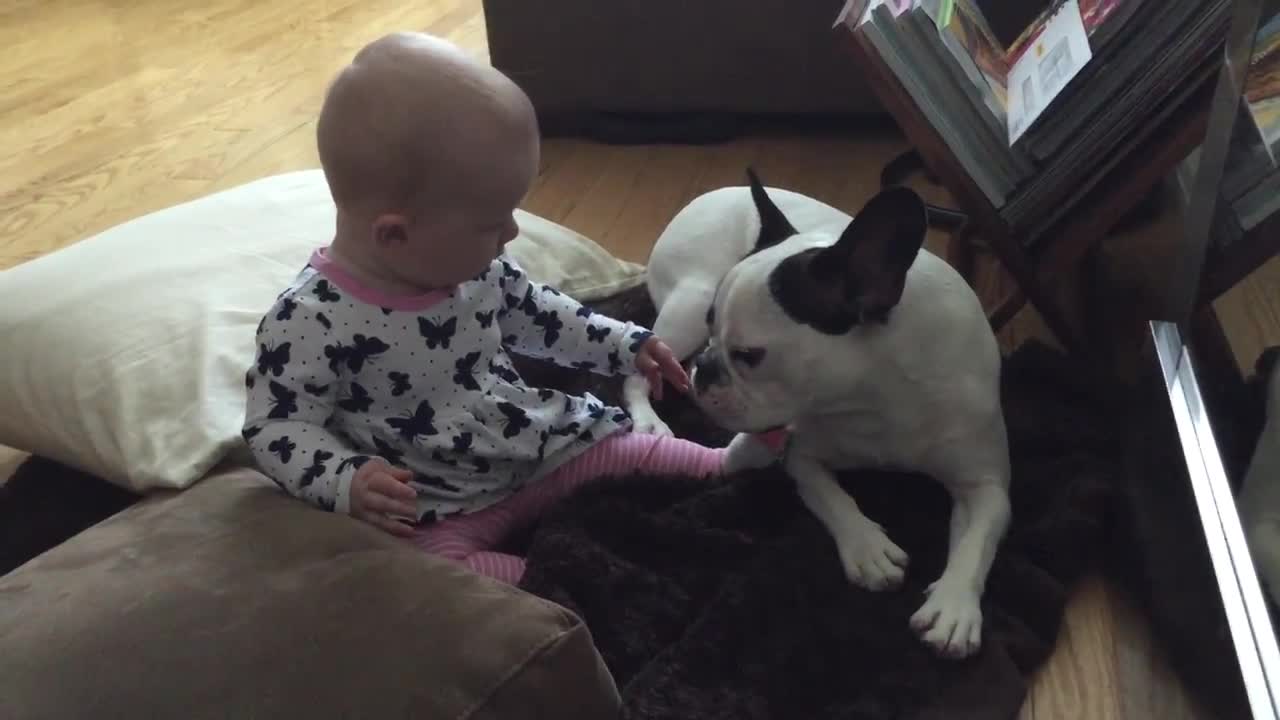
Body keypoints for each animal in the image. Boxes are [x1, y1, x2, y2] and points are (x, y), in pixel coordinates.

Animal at [624, 169, 1013, 655]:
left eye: (750, 355)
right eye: (718, 331)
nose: (705, 368)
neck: (878, 395)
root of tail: (701, 199)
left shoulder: (984, 482)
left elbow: (977, 540)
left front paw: (955, 606)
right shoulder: (802, 452)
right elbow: (828, 494)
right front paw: (866, 546)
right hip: (689, 307)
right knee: (640, 366)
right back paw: (649, 418)